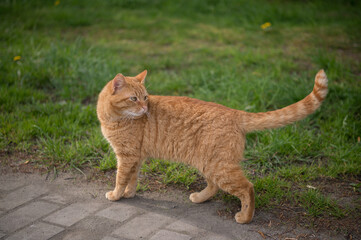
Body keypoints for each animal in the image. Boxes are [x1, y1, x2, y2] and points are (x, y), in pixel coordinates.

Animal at [95, 69, 326, 223]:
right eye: (134, 98)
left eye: (145, 97)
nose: (145, 108)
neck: (112, 119)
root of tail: (235, 112)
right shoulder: (136, 157)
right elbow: (132, 179)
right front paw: (129, 194)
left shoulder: (126, 156)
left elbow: (120, 178)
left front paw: (116, 195)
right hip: (208, 163)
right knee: (214, 186)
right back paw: (199, 198)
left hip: (219, 167)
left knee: (247, 188)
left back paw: (245, 217)